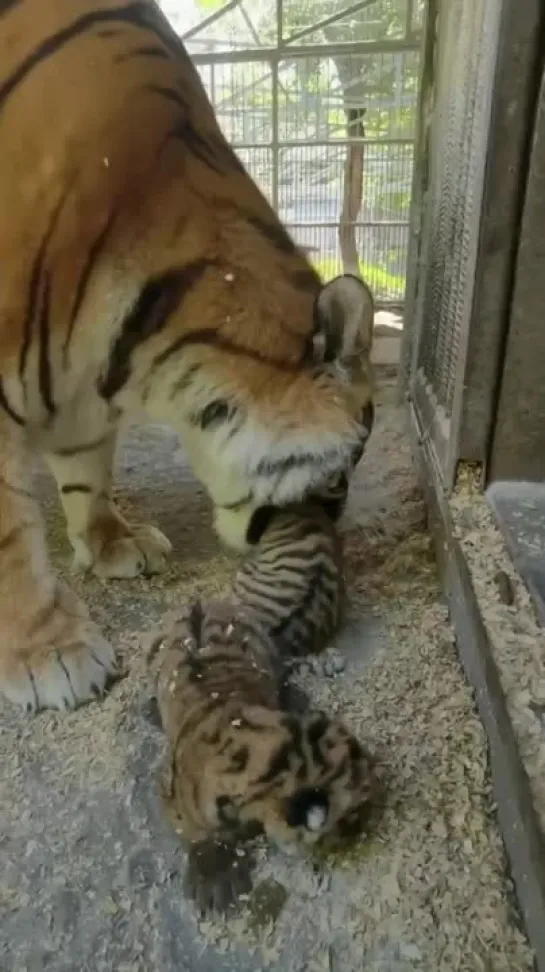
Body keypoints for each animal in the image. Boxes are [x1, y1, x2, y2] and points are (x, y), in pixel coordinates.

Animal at [0, 0, 374, 712]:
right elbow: (10, 533)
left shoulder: (78, 387)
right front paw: (49, 652)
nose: (334, 523)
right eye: (342, 473)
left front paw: (114, 542)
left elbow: (87, 471)